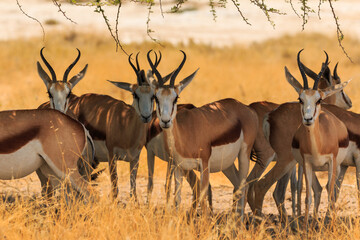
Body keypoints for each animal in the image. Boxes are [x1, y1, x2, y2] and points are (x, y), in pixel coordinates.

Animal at [148, 49, 258, 217]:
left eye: (176, 97)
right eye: (156, 97)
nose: (165, 121)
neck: (186, 134)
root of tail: (246, 108)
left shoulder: (204, 166)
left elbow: (203, 198)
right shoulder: (179, 167)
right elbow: (177, 199)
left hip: (243, 155)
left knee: (242, 186)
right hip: (227, 165)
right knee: (238, 186)